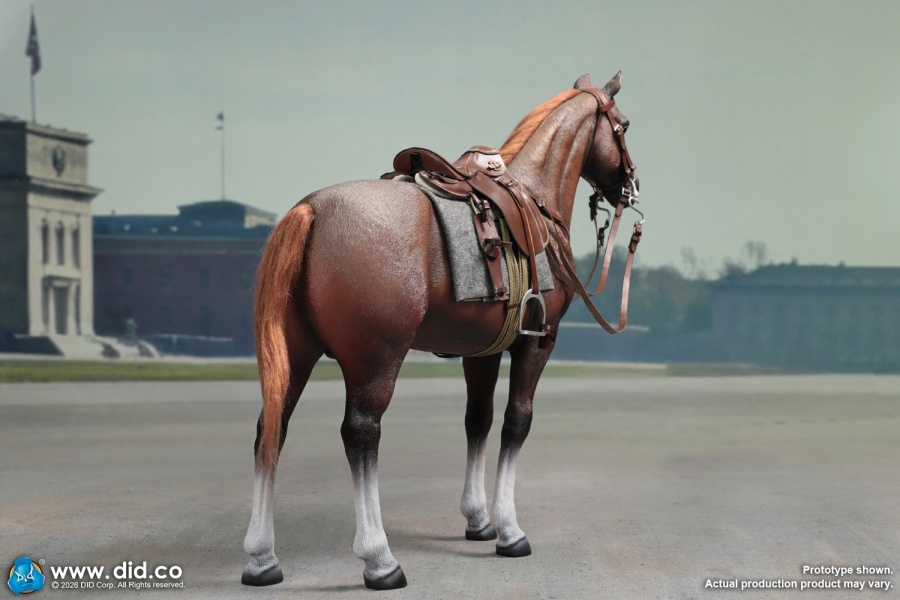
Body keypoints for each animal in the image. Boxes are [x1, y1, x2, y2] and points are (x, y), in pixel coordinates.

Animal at [242, 72, 640, 590]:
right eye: (623, 126)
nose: (631, 186)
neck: (534, 198)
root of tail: (312, 210)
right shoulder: (537, 342)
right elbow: (516, 422)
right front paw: (509, 530)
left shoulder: (482, 351)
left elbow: (478, 421)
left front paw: (478, 519)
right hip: (376, 360)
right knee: (360, 434)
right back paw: (379, 559)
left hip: (297, 354)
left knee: (272, 429)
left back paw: (261, 558)